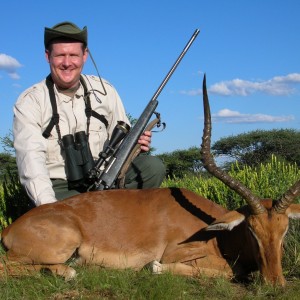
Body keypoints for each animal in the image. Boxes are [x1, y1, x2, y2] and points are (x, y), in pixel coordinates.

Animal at [0, 75, 300, 286]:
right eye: (252, 230)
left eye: (284, 231)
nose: (275, 283)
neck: (216, 234)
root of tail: (10, 228)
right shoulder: (176, 252)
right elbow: (230, 270)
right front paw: (155, 268)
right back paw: (69, 272)